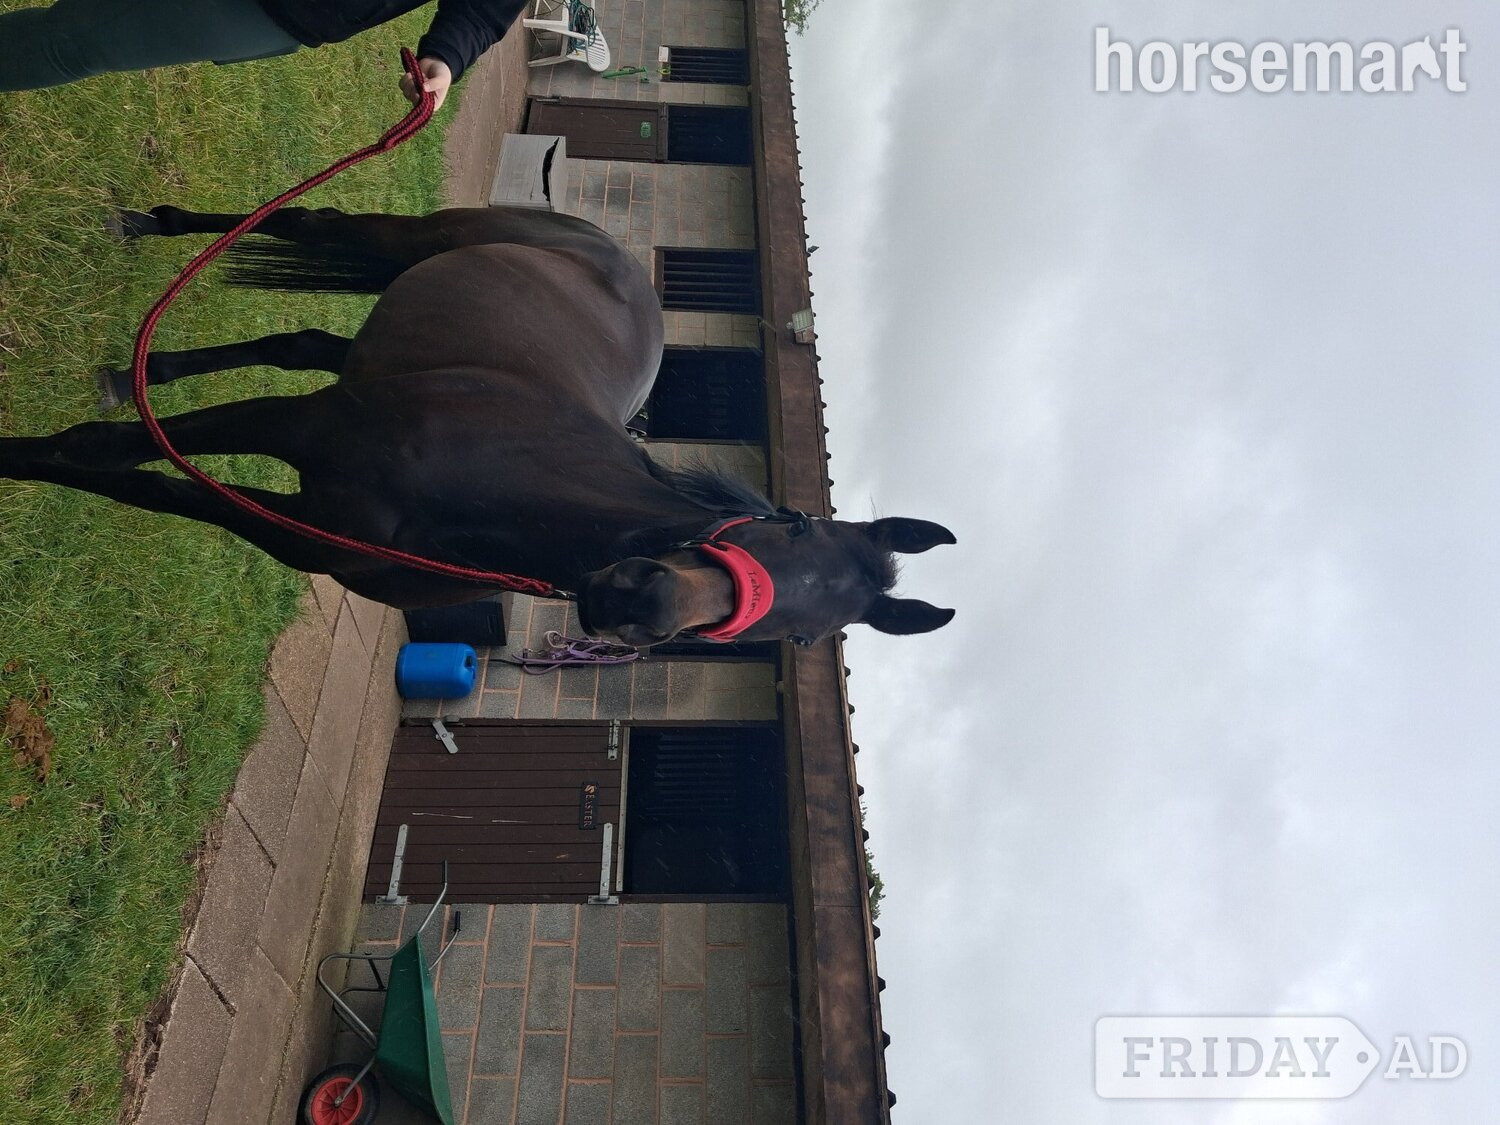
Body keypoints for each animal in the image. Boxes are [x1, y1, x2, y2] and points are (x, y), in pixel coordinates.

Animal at [0, 205, 955, 647]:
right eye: (787, 524)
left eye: (800, 636)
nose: (639, 600)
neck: (501, 489)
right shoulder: (304, 426)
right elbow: (100, 453)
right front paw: (15, 456)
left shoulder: (304, 532)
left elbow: (147, 488)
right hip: (409, 242)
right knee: (307, 221)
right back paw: (149, 227)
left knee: (297, 340)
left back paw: (145, 368)